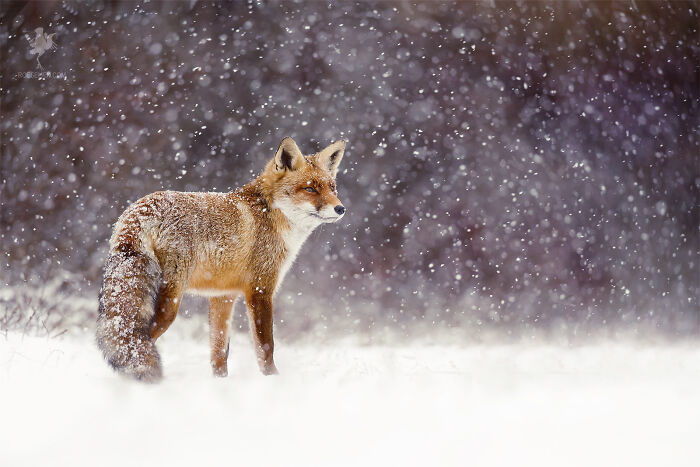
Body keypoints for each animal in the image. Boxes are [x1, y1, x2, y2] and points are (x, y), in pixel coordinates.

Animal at [96, 137, 346, 381]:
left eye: (332, 187)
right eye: (310, 188)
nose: (340, 209)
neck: (269, 212)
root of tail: (139, 211)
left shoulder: (223, 296)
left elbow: (219, 352)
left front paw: (221, 383)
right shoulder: (260, 289)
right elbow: (266, 346)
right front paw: (273, 380)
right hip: (170, 304)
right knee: (140, 341)